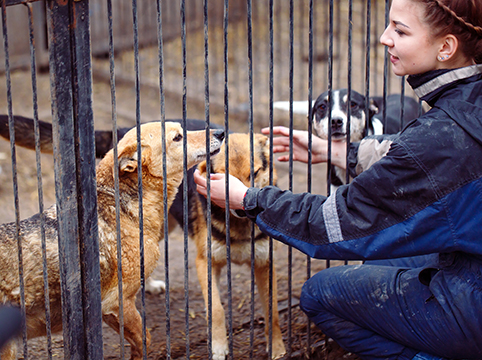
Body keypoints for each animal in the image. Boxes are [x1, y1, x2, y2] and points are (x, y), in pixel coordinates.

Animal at [0, 121, 225, 360]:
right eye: (177, 138)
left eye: (183, 129)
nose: (221, 132)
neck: (120, 205)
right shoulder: (118, 303)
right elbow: (144, 339)